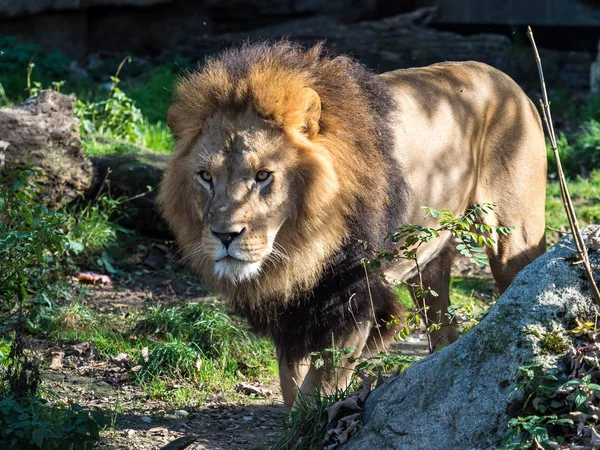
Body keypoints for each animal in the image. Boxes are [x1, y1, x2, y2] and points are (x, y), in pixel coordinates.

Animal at [157, 42, 548, 408]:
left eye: (263, 175)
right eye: (206, 177)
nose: (225, 236)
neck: (299, 246)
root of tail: (506, 81)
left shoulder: (353, 297)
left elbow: (320, 385)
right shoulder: (292, 311)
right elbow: (290, 384)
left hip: (514, 239)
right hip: (428, 258)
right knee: (444, 330)